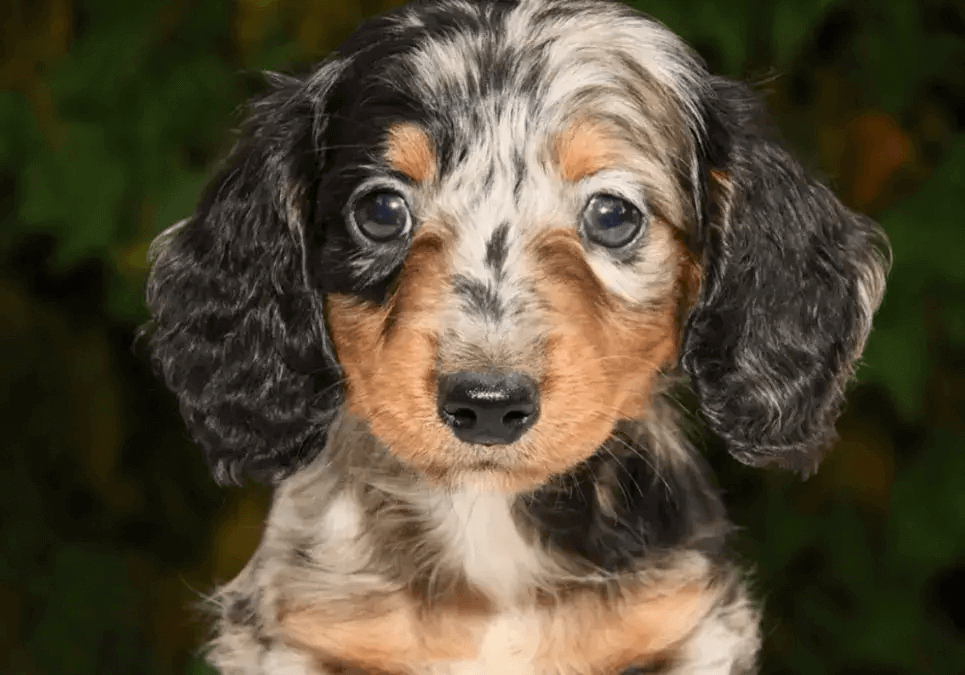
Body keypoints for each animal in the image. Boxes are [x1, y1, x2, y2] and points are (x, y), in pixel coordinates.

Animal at [143, 1, 888, 675]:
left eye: (612, 214)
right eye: (380, 210)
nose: (487, 405)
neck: (487, 528)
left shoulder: (679, 626)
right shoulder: (310, 631)